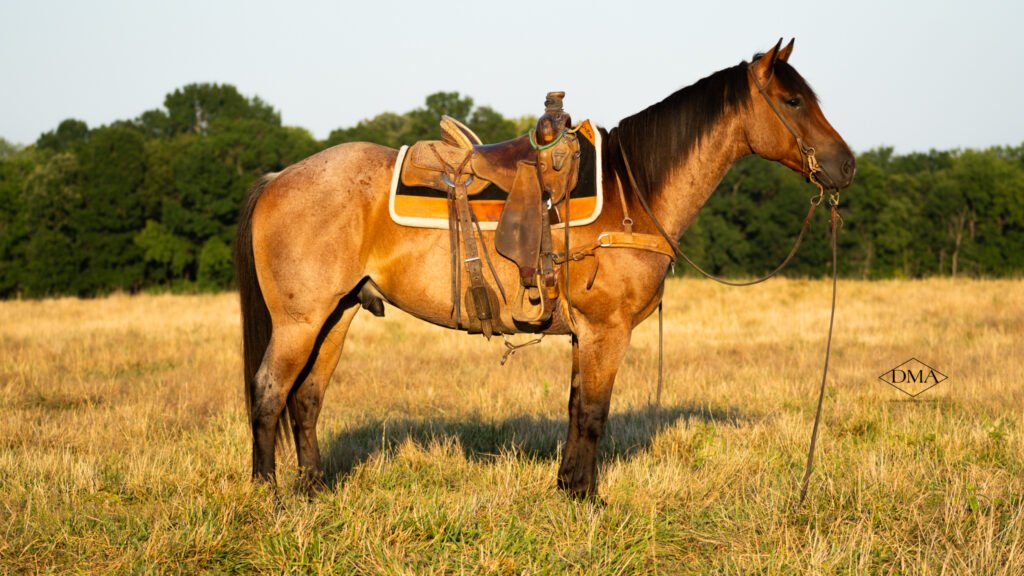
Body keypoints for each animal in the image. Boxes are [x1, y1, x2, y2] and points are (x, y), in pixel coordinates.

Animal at [234, 39, 856, 498]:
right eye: (793, 102)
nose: (846, 165)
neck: (631, 194)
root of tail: (279, 178)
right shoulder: (607, 331)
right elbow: (594, 414)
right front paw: (588, 498)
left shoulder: (586, 335)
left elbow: (576, 407)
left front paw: (568, 488)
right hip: (300, 321)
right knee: (269, 392)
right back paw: (268, 496)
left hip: (336, 315)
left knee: (306, 399)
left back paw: (314, 488)